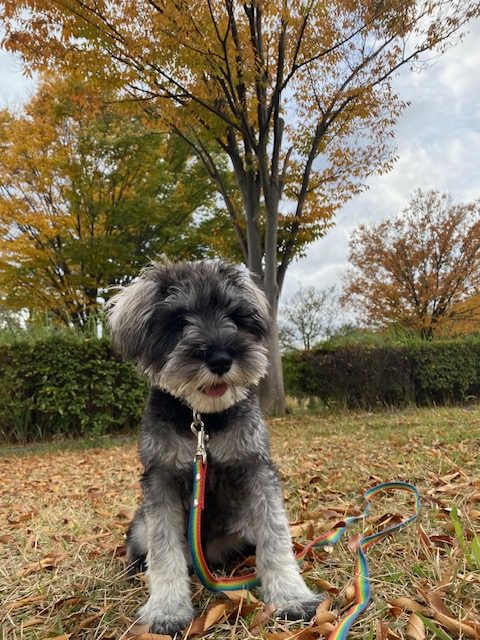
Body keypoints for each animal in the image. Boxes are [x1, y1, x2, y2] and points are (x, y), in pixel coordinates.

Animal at [107, 259, 324, 635]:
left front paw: (290, 595)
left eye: (234, 316)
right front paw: (167, 609)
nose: (221, 358)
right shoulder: (161, 479)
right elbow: (164, 550)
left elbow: (275, 535)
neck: (203, 420)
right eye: (179, 319)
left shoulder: (256, 468)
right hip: (138, 527)